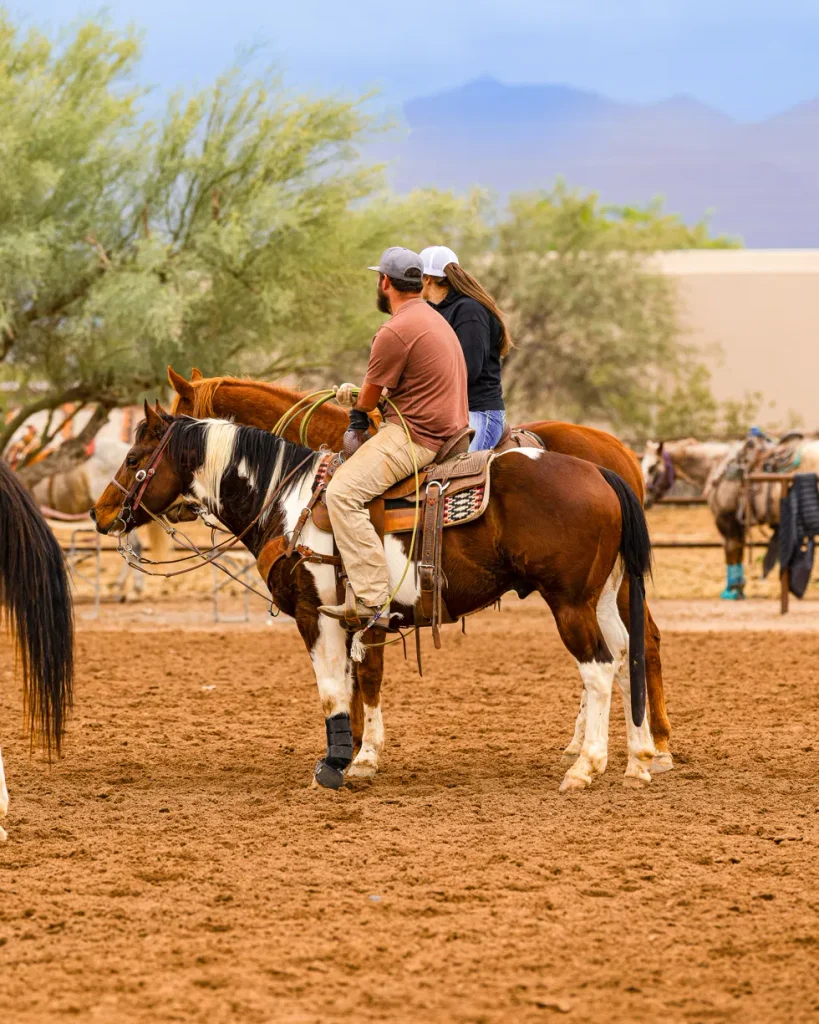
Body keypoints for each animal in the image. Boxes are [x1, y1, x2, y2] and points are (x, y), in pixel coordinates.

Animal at [93, 403, 657, 794]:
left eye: (134, 457)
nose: (100, 513)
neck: (289, 501)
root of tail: (601, 472)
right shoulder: (356, 621)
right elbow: (359, 684)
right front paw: (358, 758)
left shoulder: (315, 615)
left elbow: (331, 691)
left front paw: (333, 768)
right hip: (602, 598)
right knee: (627, 654)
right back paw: (639, 759)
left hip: (569, 603)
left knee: (598, 668)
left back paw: (586, 767)